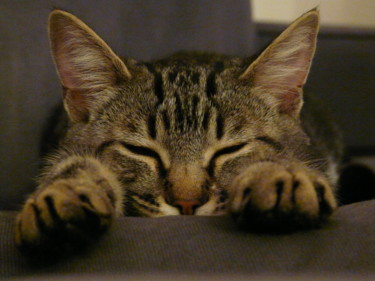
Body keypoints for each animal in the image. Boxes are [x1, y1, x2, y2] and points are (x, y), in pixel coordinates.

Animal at [16, 8, 342, 253]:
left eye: (231, 149)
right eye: (139, 150)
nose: (187, 204)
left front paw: (280, 174)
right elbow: (73, 164)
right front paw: (65, 193)